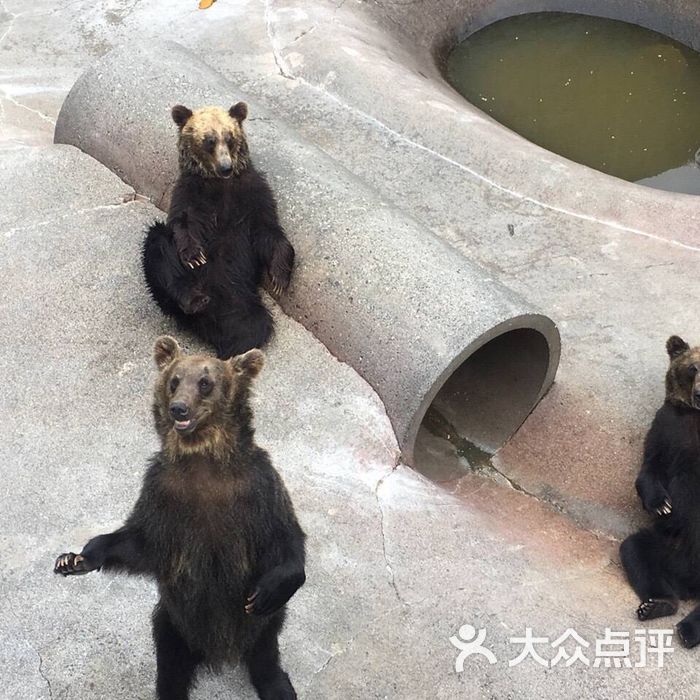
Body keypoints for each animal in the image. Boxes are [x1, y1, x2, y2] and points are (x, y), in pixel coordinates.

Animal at [54, 336, 306, 699]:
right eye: (174, 381)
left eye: (205, 383)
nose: (179, 408)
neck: (203, 463)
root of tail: (221, 651)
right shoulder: (164, 496)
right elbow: (140, 542)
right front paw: (74, 558)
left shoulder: (258, 490)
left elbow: (285, 537)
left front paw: (266, 590)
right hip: (176, 620)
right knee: (170, 659)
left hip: (260, 625)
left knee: (265, 649)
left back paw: (278, 685)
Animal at [142, 103, 295, 359]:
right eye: (209, 141)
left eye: (230, 138)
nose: (226, 167)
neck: (219, 184)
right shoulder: (190, 193)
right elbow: (182, 223)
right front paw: (195, 256)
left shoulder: (252, 193)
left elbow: (268, 231)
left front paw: (279, 277)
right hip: (180, 278)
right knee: (158, 246)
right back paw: (193, 299)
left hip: (240, 297)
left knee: (254, 325)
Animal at [620, 335, 700, 647]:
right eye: (693, 368)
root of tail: (691, 584)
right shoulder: (668, 427)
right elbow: (650, 465)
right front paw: (661, 504)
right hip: (667, 546)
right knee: (635, 550)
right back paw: (658, 604)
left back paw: (688, 630)